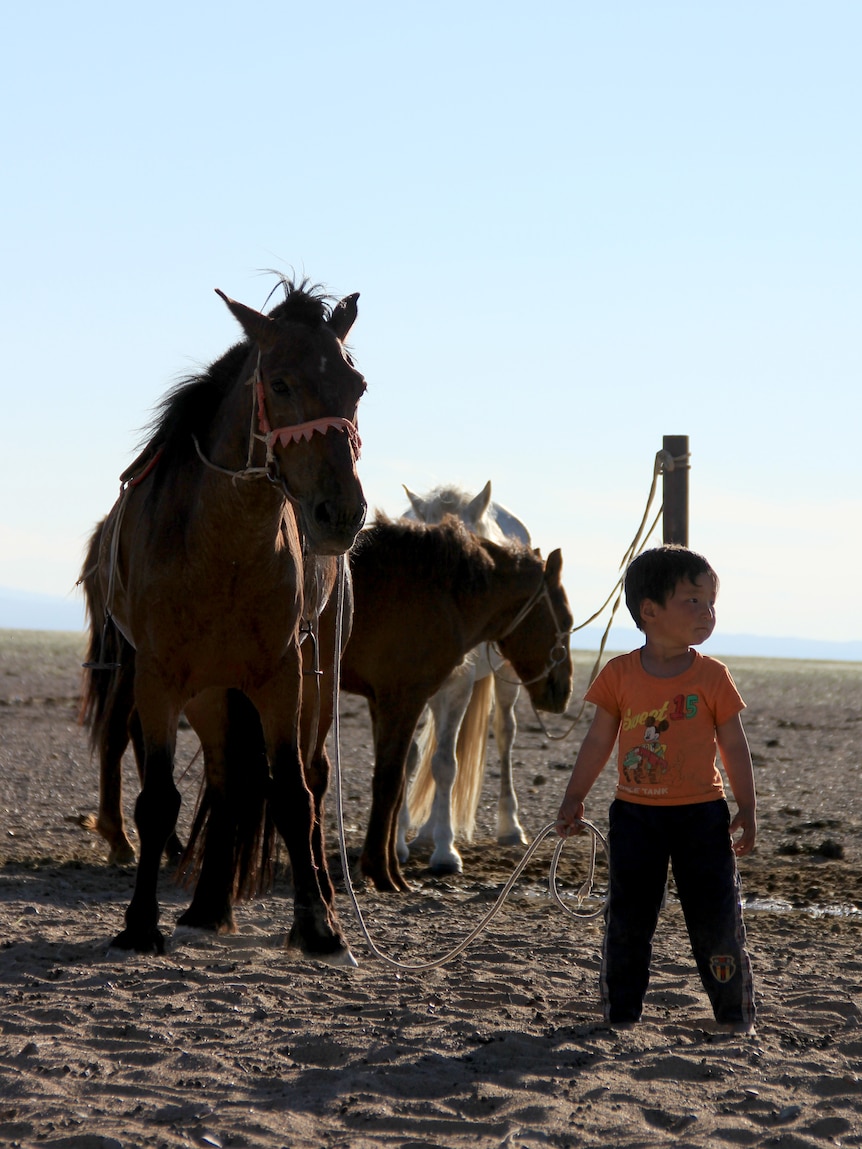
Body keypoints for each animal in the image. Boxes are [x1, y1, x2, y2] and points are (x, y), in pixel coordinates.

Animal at [84, 278, 372, 960]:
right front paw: (140, 925)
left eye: (357, 388)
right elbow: (159, 801)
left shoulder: (282, 678)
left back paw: (317, 900)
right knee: (224, 779)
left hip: (314, 684)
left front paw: (318, 926)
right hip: (209, 694)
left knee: (312, 779)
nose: (340, 514)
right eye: (282, 383)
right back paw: (207, 905)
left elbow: (293, 794)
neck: (222, 550)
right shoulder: (159, 678)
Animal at [397, 482, 533, 868]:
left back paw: (509, 827)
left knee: (503, 734)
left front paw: (446, 852)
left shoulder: (459, 686)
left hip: (503, 677)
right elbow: (411, 758)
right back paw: (425, 832)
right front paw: (397, 845)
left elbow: (445, 763)